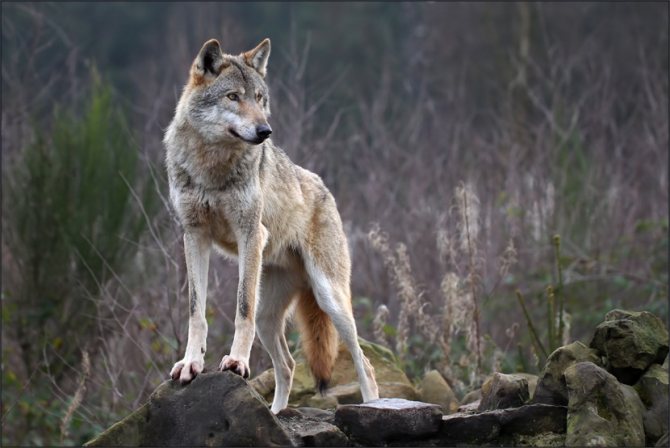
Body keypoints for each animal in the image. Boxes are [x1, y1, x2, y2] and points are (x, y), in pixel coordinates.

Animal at [163, 38, 379, 413]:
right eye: (233, 97)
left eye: (260, 98)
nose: (265, 131)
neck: (212, 166)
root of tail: (325, 189)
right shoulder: (194, 235)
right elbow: (196, 312)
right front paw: (191, 363)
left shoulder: (251, 232)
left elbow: (241, 309)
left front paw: (236, 362)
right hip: (270, 318)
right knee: (289, 365)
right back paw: (276, 414)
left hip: (330, 298)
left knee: (363, 362)